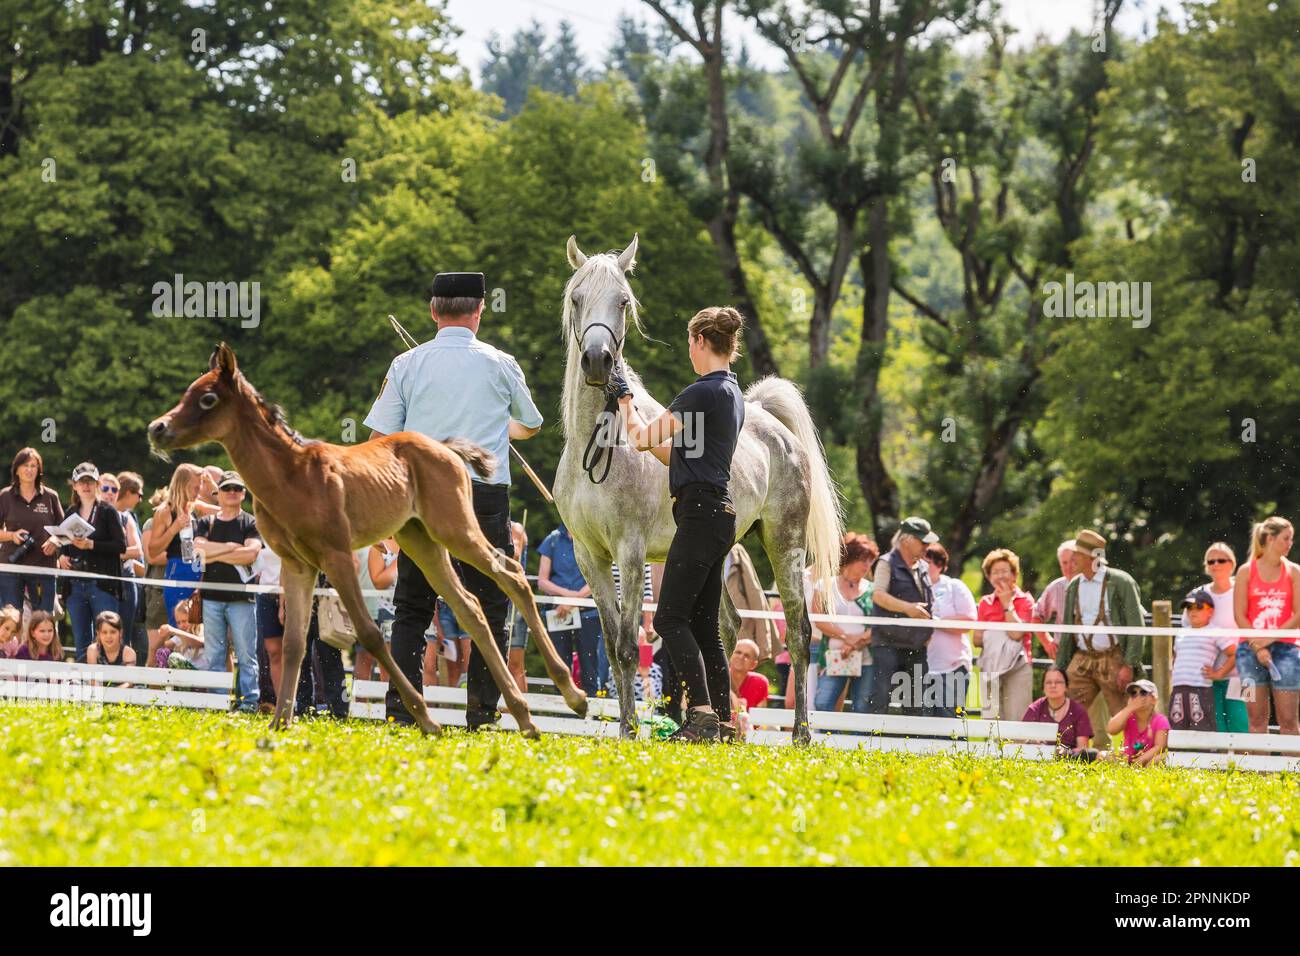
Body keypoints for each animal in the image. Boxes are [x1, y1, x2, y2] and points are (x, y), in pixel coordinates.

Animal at [147, 343, 588, 736]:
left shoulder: (336, 555)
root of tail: (446, 448)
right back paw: (526, 718)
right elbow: (292, 643)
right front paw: (280, 722)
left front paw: (426, 719)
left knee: (511, 575)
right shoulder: (297, 564)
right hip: (421, 541)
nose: (157, 428)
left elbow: (371, 633)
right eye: (188, 392)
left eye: (207, 398)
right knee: (471, 607)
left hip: (456, 529)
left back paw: (572, 696)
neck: (291, 475)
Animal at [552, 235, 843, 744]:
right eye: (576, 298)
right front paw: (628, 727)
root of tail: (768, 419)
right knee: (723, 628)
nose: (598, 361)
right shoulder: (589, 555)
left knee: (799, 633)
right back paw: (717, 724)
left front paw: (630, 732)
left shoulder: (629, 553)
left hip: (783, 546)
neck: (604, 442)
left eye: (623, 301)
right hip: (718, 553)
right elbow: (611, 645)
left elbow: (625, 646)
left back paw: (801, 734)